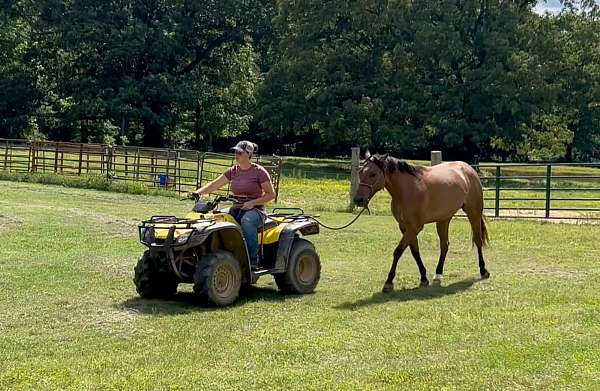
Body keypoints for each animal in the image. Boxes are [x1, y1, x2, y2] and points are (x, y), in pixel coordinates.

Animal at [354, 152, 490, 292]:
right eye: (360, 172)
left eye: (373, 174)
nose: (358, 199)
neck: (407, 190)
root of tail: (469, 168)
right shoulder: (405, 227)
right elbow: (415, 251)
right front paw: (424, 278)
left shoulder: (414, 227)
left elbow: (398, 251)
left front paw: (389, 282)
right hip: (444, 219)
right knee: (444, 245)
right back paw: (438, 275)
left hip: (473, 213)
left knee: (478, 240)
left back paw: (483, 271)